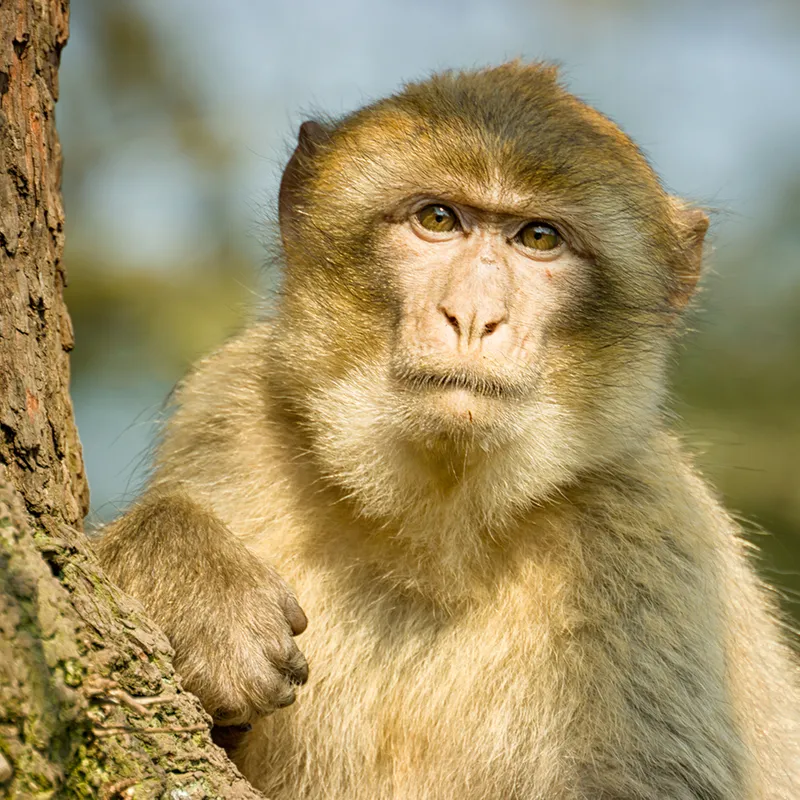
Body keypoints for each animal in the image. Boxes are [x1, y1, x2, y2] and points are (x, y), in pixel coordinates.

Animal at [95, 62, 800, 799]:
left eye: (539, 238)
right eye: (438, 218)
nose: (473, 317)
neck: (435, 526)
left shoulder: (655, 531)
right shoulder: (230, 413)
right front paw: (188, 580)